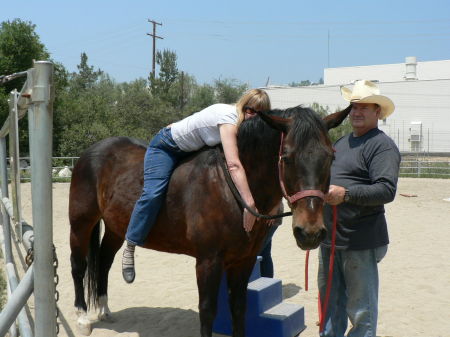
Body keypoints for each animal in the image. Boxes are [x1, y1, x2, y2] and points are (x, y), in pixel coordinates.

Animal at [69, 103, 352, 334]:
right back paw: (82, 317)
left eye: (331, 156)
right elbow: (207, 311)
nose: (310, 232)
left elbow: (239, 308)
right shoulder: (208, 261)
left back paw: (104, 310)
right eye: (286, 157)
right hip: (81, 223)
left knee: (104, 261)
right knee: (79, 265)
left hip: (116, 227)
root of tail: (91, 151)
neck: (232, 188)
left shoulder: (244, 260)